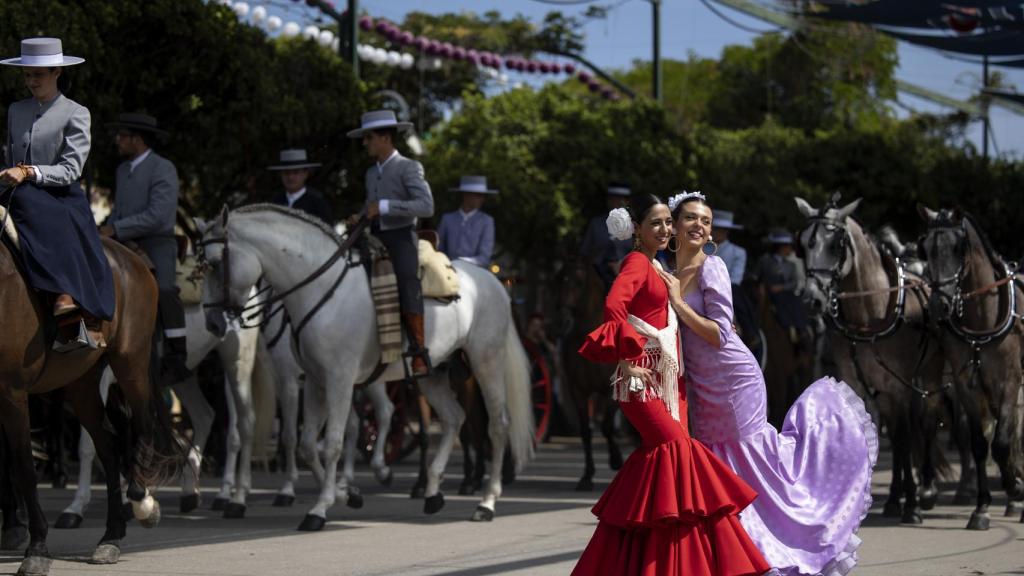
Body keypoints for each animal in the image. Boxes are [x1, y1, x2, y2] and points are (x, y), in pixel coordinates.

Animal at [0, 230, 182, 569]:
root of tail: (133, 257)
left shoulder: (12, 390)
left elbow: (23, 467)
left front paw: (37, 549)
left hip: (130, 362)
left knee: (142, 424)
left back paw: (142, 502)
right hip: (81, 383)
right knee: (108, 445)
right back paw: (110, 536)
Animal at [200, 203, 536, 528]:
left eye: (214, 264)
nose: (213, 324)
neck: (321, 290)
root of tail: (491, 279)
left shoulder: (336, 379)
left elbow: (332, 441)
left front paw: (320, 508)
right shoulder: (315, 380)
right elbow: (308, 443)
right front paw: (347, 495)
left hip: (485, 361)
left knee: (497, 424)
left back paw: (486, 502)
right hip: (432, 373)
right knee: (454, 418)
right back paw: (432, 492)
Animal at [794, 194, 946, 522]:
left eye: (836, 245)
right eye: (804, 245)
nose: (813, 299)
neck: (869, 314)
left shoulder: (900, 385)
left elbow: (905, 436)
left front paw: (912, 504)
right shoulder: (860, 384)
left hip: (928, 375)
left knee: (925, 424)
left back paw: (926, 491)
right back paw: (893, 498)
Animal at [917, 203, 1019, 528]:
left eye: (957, 248)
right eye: (925, 248)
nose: (939, 306)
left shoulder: (1009, 382)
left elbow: (1001, 443)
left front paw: (1015, 489)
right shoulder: (967, 387)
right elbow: (978, 445)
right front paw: (981, 508)